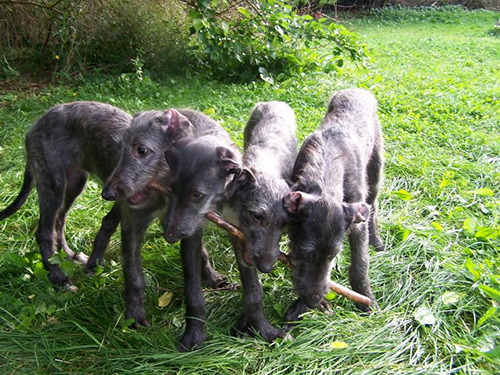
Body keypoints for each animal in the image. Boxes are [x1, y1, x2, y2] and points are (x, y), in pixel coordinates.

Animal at [0, 103, 131, 290]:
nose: (107, 194)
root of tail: (35, 125)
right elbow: (108, 225)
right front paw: (94, 265)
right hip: (53, 185)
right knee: (44, 232)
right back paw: (57, 276)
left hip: (75, 182)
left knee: (59, 223)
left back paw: (68, 255)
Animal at [103, 109, 229, 346]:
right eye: (120, 148)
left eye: (142, 150)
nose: (107, 193)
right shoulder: (133, 221)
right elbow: (133, 274)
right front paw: (134, 316)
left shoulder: (188, 228)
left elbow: (192, 281)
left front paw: (194, 332)